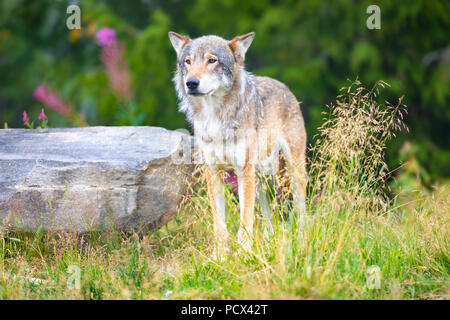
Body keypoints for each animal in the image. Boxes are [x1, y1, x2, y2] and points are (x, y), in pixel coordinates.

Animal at [170, 31, 310, 256]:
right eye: (188, 62)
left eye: (212, 60)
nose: (191, 83)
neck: (215, 117)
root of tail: (284, 86)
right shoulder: (213, 171)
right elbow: (220, 222)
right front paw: (219, 256)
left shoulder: (243, 170)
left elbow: (246, 218)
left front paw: (244, 252)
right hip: (259, 180)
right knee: (267, 217)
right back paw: (268, 244)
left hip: (291, 170)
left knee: (301, 208)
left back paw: (303, 239)